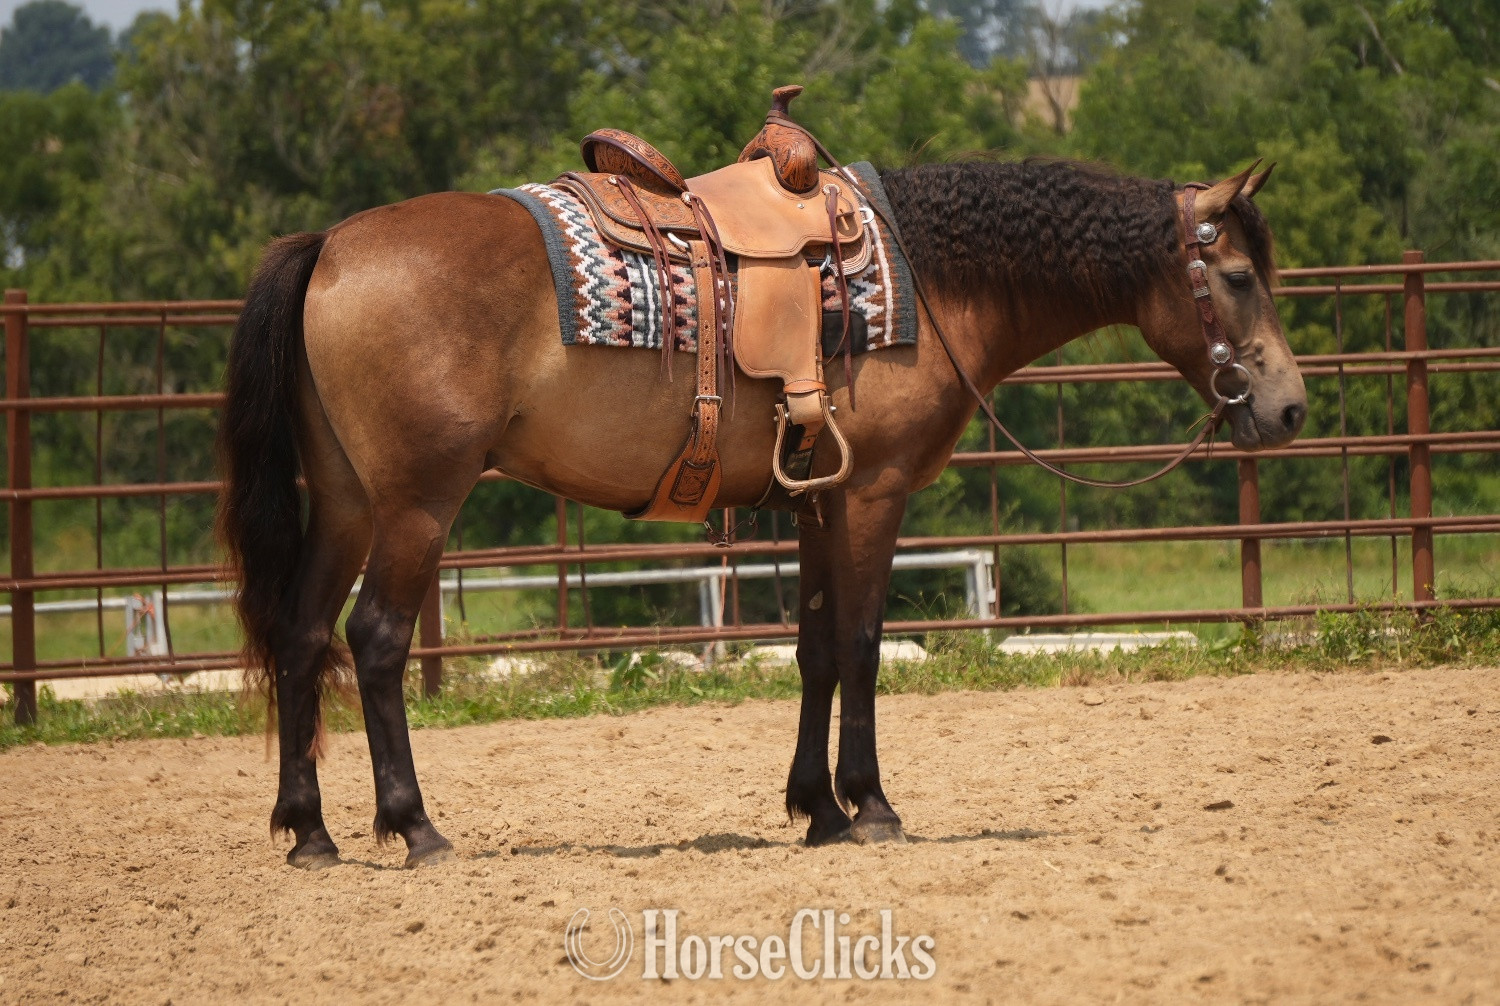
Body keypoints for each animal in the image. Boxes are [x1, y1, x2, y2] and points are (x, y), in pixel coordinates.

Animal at [216, 155, 1307, 869]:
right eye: (1237, 277)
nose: (1291, 407)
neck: (926, 280)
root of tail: (333, 245)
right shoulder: (872, 495)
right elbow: (863, 643)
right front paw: (872, 806)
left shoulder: (820, 501)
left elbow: (816, 648)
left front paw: (815, 806)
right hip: (414, 505)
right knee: (376, 640)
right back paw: (415, 826)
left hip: (348, 502)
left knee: (305, 635)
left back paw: (309, 832)